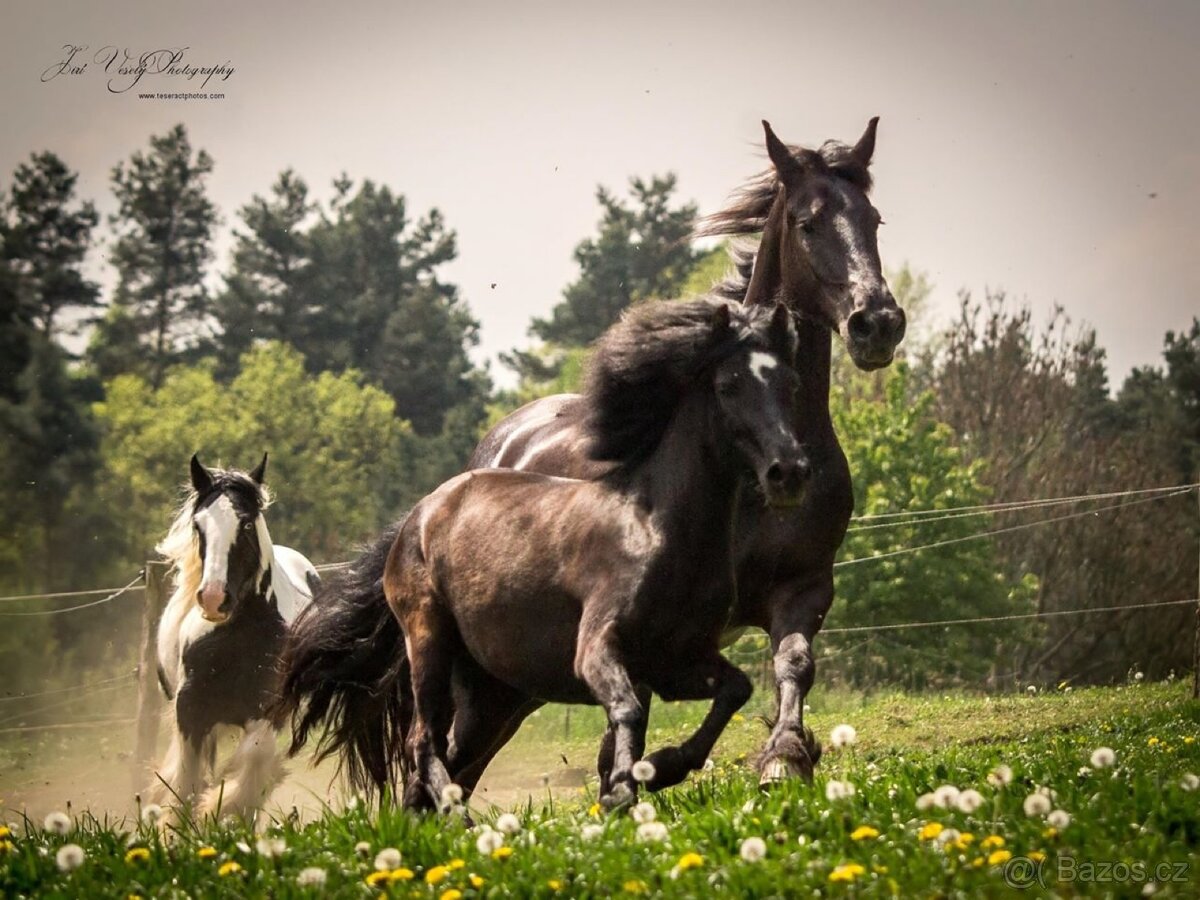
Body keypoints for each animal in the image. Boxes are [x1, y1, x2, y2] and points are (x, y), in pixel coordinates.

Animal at [152, 453, 319, 821]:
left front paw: (219, 808)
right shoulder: (189, 710)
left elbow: (252, 767)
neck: (238, 637)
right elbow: (186, 780)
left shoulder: (268, 711)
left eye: (245, 525)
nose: (214, 598)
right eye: (198, 525)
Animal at [275, 298, 810, 810]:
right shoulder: (598, 650)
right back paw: (455, 814)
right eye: (729, 386)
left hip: (487, 690)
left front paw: (662, 768)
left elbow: (735, 689)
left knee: (446, 759)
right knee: (423, 744)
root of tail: (420, 514)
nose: (789, 471)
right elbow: (628, 711)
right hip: (429, 643)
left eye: (791, 382)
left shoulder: (676, 661)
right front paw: (623, 790)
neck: (657, 529)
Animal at [461, 119, 906, 788]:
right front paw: (656, 769)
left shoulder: (804, 588)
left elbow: (794, 664)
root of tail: (501, 442)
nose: (876, 323)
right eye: (807, 223)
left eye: (874, 219)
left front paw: (786, 756)